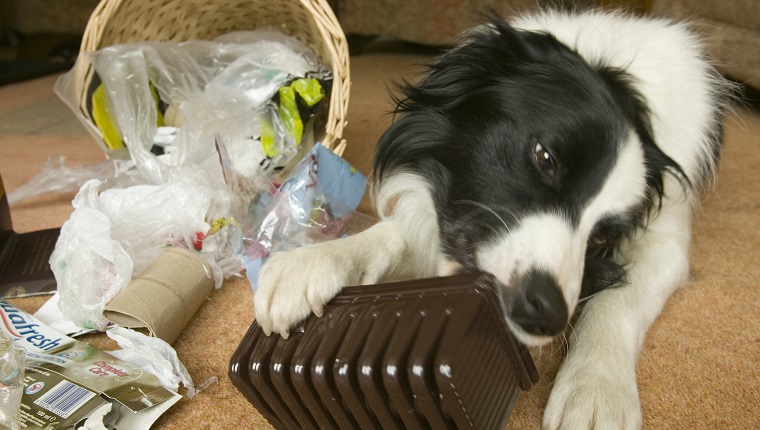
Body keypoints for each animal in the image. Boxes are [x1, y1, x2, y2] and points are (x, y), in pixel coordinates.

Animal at [256, 8, 732, 428]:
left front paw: (596, 388)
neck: (621, 76)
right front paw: (313, 262)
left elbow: (618, 300)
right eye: (545, 157)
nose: (545, 316)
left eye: (600, 239)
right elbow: (396, 232)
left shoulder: (666, 242)